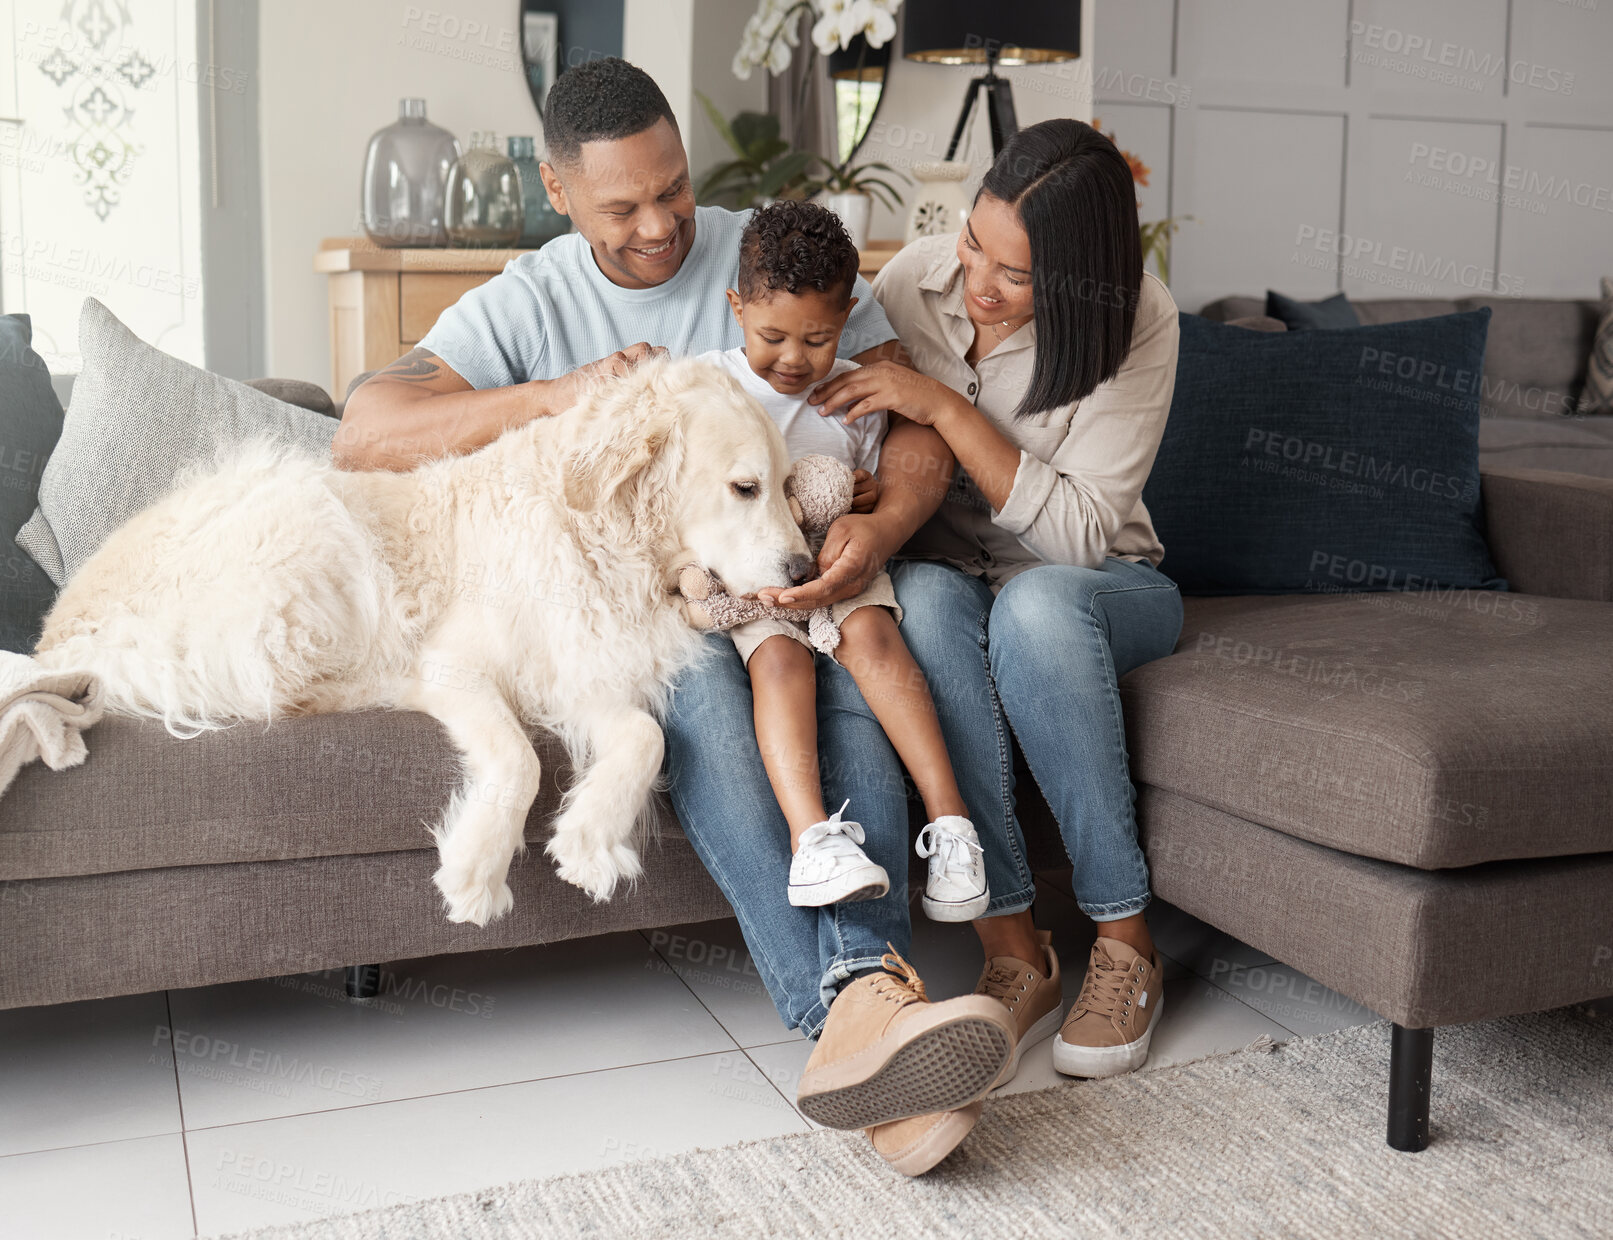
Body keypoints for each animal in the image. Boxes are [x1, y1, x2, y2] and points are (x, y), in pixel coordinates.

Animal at [25, 353, 806, 922]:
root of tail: (60, 635)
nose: (804, 570)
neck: (600, 539)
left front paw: (589, 840)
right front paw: (478, 871)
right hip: (306, 518)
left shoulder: (578, 671)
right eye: (745, 487)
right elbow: (519, 760)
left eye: (788, 484)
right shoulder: (463, 666)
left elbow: (646, 739)